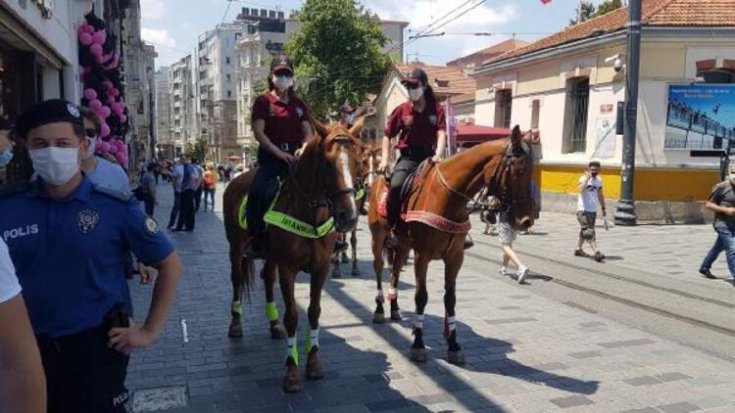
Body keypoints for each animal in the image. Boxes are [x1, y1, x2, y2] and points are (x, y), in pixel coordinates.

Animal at [221, 120, 366, 392]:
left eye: (357, 161)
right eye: (327, 163)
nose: (349, 216)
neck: (308, 214)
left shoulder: (320, 268)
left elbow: (314, 312)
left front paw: (314, 363)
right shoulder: (288, 268)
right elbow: (292, 316)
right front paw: (291, 371)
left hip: (270, 255)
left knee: (267, 278)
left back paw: (273, 324)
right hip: (235, 248)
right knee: (236, 280)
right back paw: (235, 324)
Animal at [368, 124, 536, 364]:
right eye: (517, 171)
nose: (526, 221)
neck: (448, 198)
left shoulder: (455, 257)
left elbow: (451, 299)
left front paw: (454, 345)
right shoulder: (422, 256)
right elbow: (421, 297)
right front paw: (418, 343)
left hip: (402, 245)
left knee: (396, 271)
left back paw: (395, 308)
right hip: (378, 237)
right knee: (379, 269)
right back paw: (380, 309)